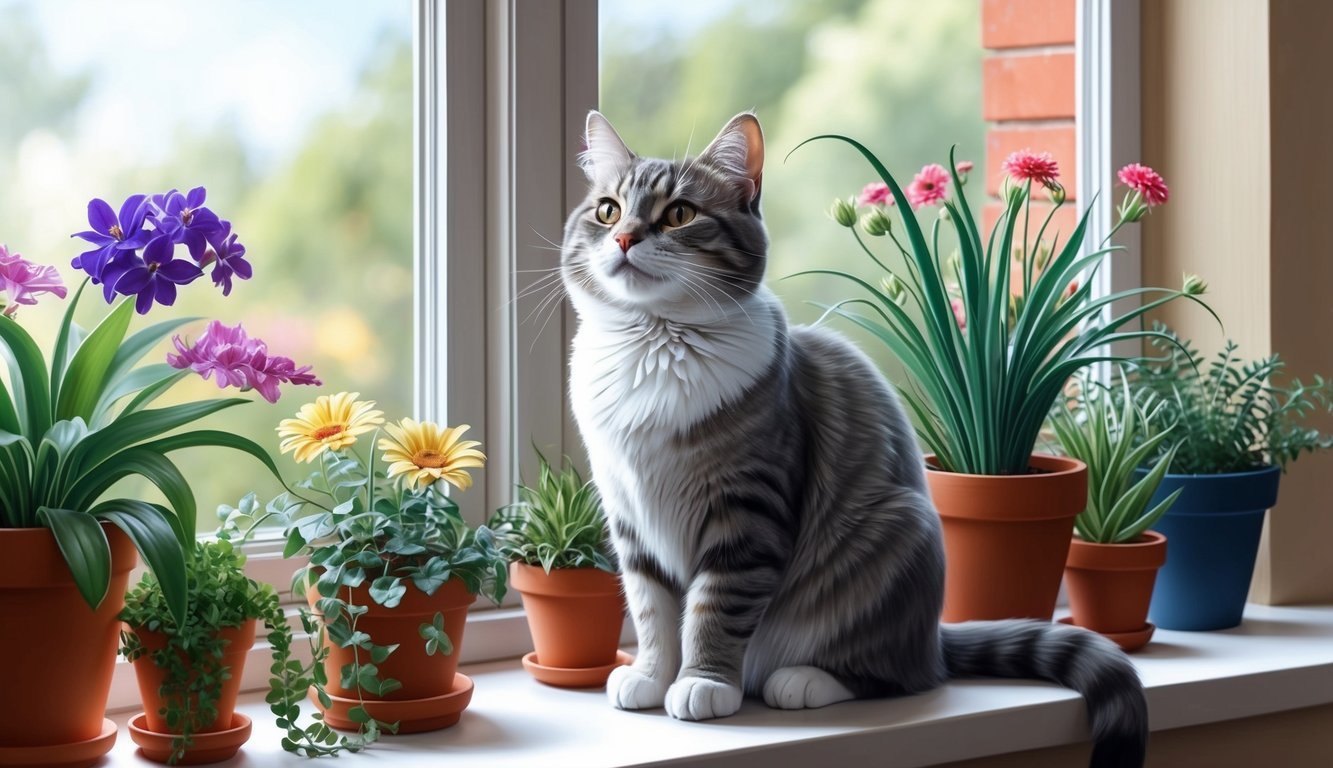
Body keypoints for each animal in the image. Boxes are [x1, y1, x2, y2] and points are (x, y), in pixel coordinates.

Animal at [557, 109, 1151, 768]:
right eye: (608, 210)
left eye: (680, 214)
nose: (625, 238)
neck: (653, 347)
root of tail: (933, 639)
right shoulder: (630, 518)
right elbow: (652, 611)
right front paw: (652, 677)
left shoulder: (746, 516)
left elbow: (712, 609)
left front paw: (703, 684)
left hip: (893, 535)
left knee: (896, 675)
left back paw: (803, 680)